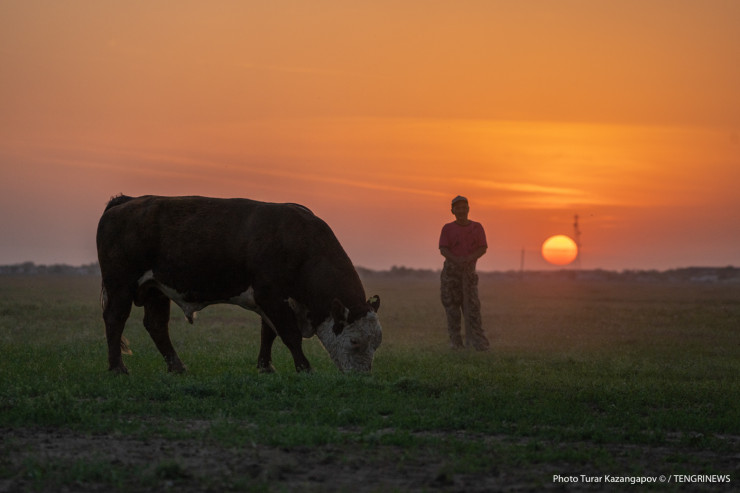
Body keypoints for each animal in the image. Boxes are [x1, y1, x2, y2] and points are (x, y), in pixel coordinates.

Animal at [96, 195, 382, 374]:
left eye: (376, 343)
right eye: (354, 341)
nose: (363, 376)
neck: (300, 244)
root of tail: (126, 202)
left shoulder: (269, 301)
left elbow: (268, 333)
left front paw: (265, 367)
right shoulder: (271, 295)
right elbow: (289, 334)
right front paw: (305, 367)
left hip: (156, 289)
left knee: (156, 325)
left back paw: (177, 367)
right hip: (120, 285)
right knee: (115, 319)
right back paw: (117, 368)